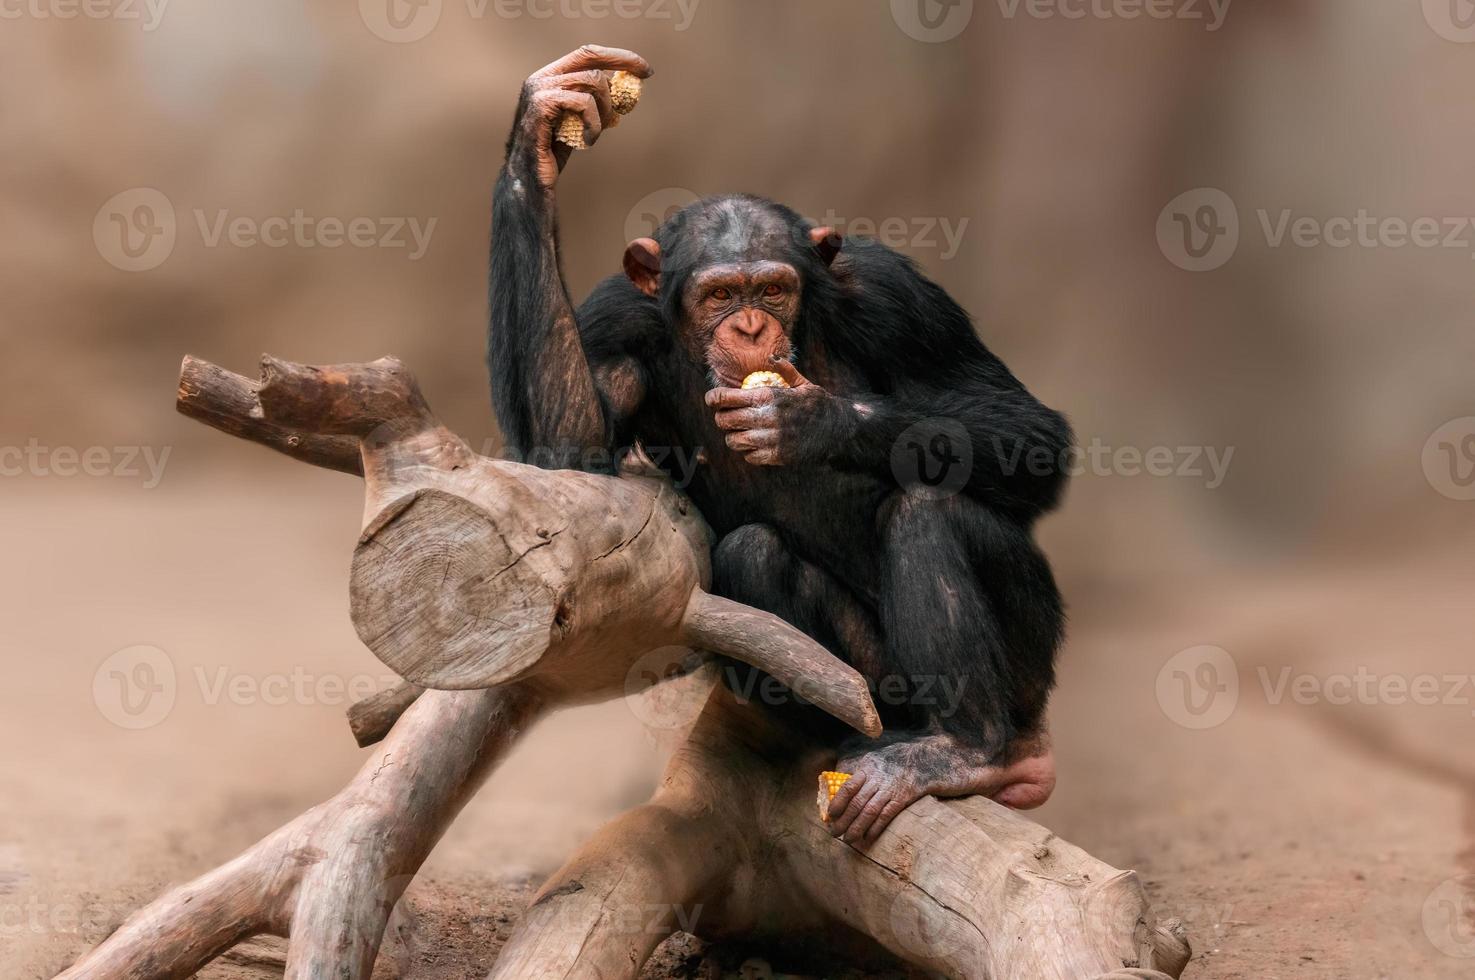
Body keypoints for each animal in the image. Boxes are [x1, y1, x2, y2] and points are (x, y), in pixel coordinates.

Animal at [486, 45, 1073, 844]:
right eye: (717, 296)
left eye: (770, 290)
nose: (749, 328)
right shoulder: (614, 319)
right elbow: (570, 451)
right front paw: (539, 136)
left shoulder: (897, 296)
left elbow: (1027, 430)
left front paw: (812, 421)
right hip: (873, 688)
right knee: (753, 553)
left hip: (1033, 665)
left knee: (930, 509)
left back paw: (966, 750)